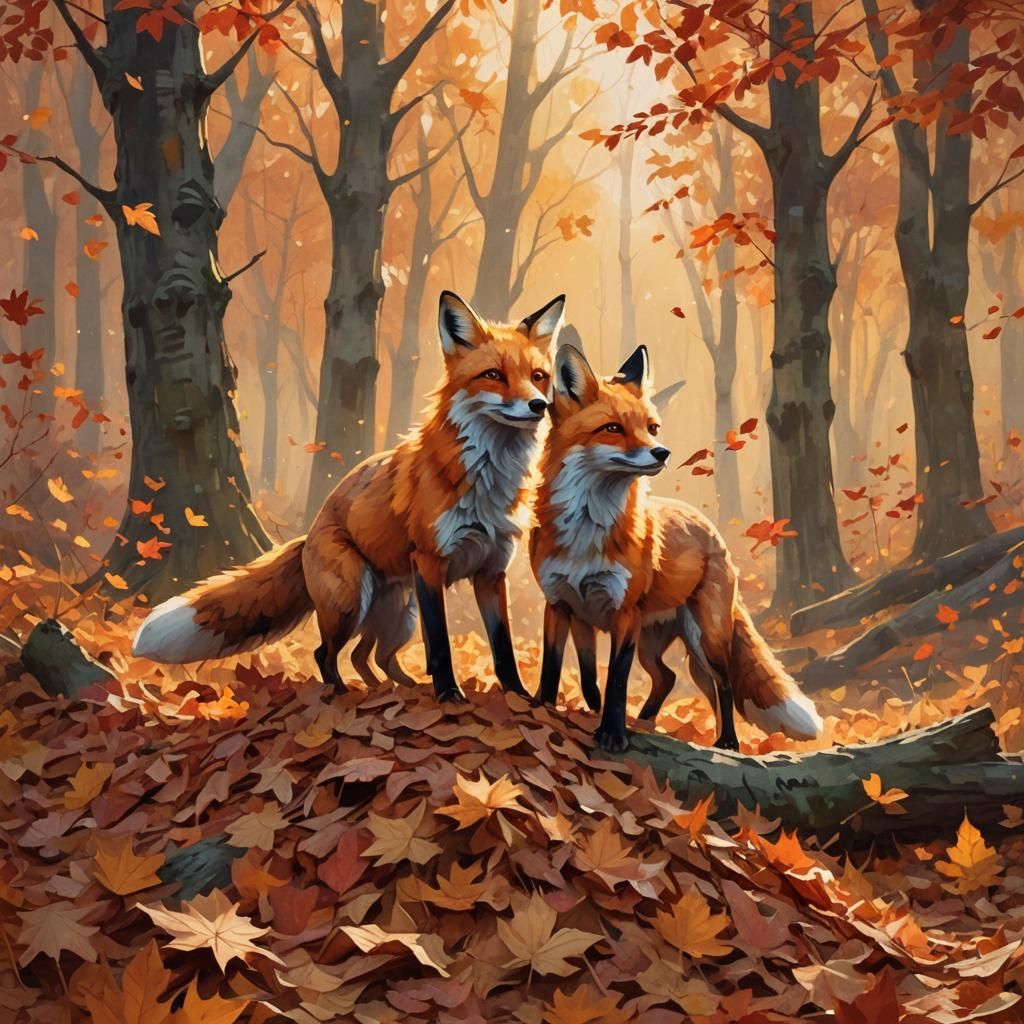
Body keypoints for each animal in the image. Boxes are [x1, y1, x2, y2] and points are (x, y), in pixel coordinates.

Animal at [132, 290, 566, 703]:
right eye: (493, 375)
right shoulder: (429, 564)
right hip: (352, 600)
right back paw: (342, 694)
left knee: (369, 657)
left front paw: (519, 697)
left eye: (538, 376)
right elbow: (440, 646)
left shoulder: (492, 569)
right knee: (326, 654)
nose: (539, 405)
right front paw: (448, 696)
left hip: (397, 614)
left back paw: (394, 690)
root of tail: (308, 533)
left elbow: (503, 647)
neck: (487, 479)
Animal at [529, 343, 823, 753]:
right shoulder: (560, 604)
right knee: (669, 678)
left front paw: (612, 732)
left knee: (723, 685)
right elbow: (561, 668)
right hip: (653, 645)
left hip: (704, 639)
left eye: (652, 428)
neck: (587, 532)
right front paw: (543, 708)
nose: (662, 453)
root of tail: (710, 529)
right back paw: (646, 721)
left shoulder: (624, 615)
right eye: (613, 428)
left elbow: (616, 681)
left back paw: (726, 742)